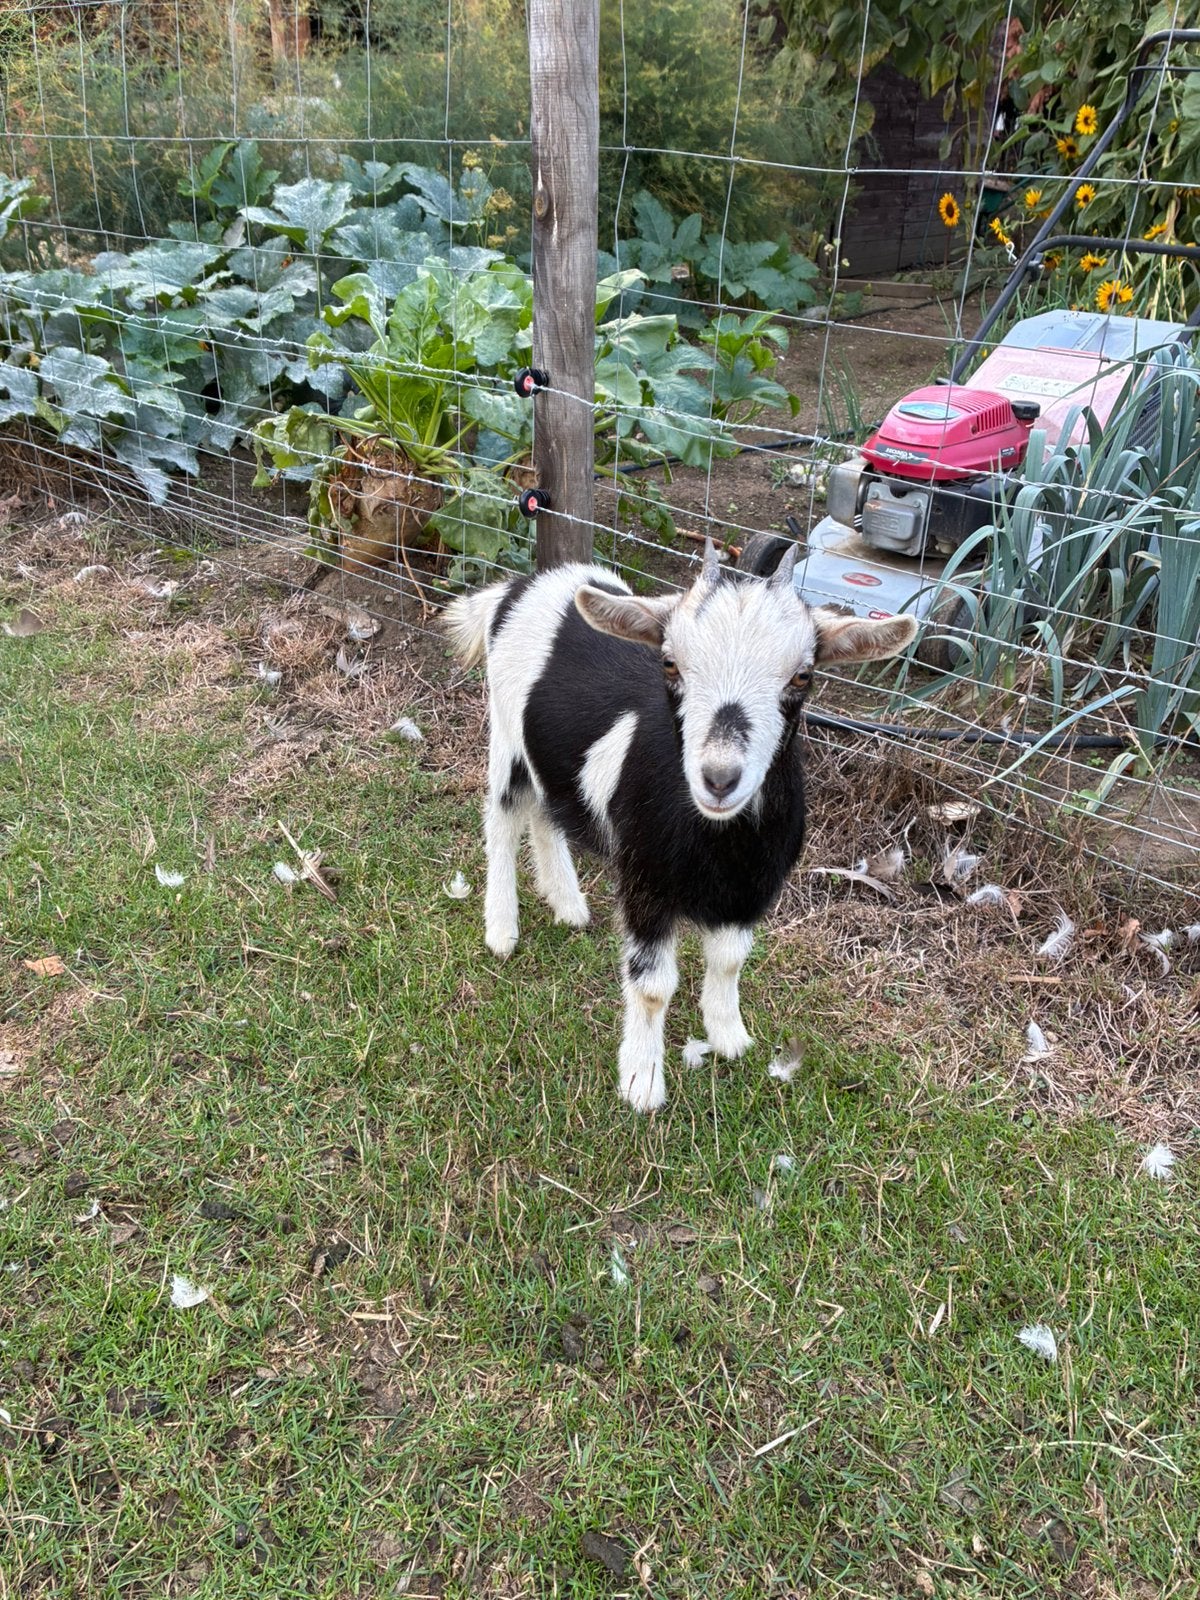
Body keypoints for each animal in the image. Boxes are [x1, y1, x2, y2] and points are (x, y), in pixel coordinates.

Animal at [444, 541, 916, 1113]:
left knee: (546, 809)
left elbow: (731, 960)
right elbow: (652, 987)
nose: (719, 778)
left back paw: (568, 904)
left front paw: (730, 1037)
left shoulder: (751, 888)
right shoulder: (645, 883)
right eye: (669, 663)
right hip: (505, 732)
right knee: (503, 818)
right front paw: (642, 1082)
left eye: (802, 676)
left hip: (550, 756)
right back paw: (501, 929)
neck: (720, 841)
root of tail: (522, 586)